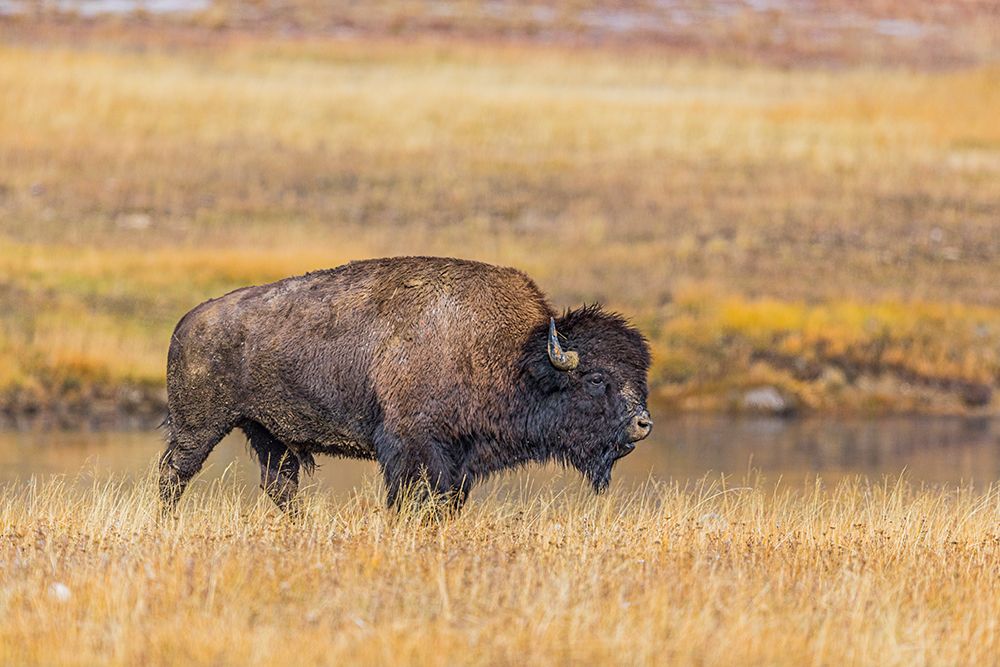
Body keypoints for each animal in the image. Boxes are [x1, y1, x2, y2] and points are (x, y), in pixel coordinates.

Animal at [159, 256, 652, 513]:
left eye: (639, 377)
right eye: (596, 378)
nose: (643, 423)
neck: (515, 355)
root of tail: (186, 322)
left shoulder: (458, 461)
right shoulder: (413, 449)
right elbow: (412, 497)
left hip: (268, 435)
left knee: (280, 485)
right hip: (199, 427)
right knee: (173, 474)